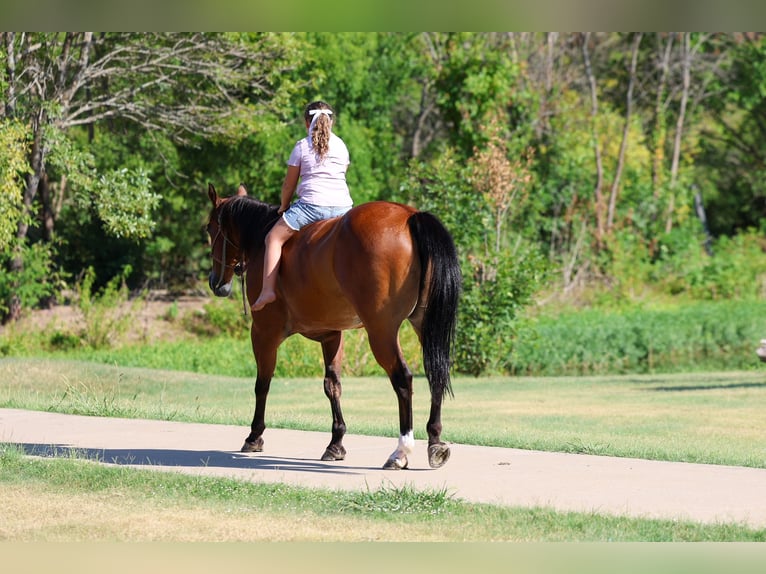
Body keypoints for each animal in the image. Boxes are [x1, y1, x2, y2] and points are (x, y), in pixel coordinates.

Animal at [206, 183, 461, 469]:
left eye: (209, 228)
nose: (215, 282)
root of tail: (409, 215)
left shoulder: (263, 332)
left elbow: (263, 383)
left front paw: (254, 436)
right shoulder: (332, 335)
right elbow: (333, 385)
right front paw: (335, 443)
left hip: (381, 331)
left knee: (403, 379)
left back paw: (401, 450)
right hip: (424, 325)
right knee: (435, 372)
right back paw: (435, 441)